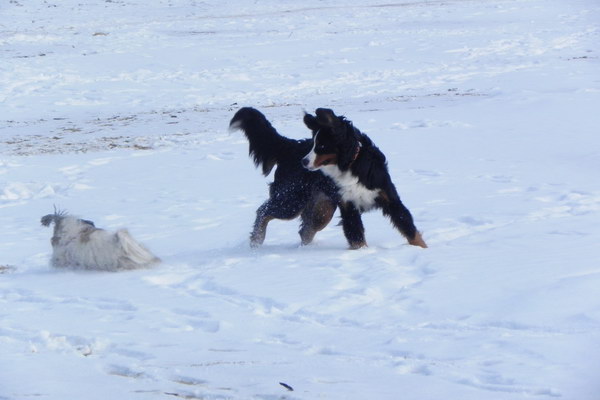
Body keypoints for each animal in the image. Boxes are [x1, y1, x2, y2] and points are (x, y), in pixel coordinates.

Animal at [230, 107, 340, 247]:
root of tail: (290, 146)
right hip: (293, 199)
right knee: (263, 211)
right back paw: (257, 240)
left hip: (321, 205)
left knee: (306, 229)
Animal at [302, 108, 427, 249]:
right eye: (313, 144)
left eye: (322, 146)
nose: (303, 161)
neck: (350, 166)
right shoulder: (348, 206)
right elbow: (356, 236)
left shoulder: (390, 199)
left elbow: (410, 229)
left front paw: (423, 249)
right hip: (323, 208)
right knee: (306, 230)